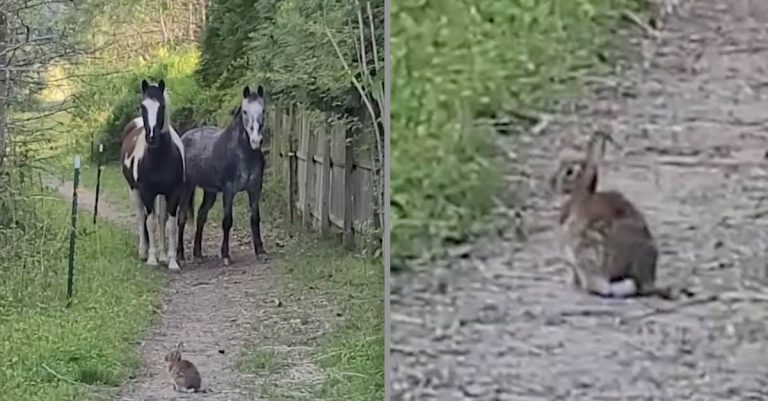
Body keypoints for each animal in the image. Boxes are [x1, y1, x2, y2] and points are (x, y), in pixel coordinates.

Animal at [120, 79, 186, 271]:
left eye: (162, 106)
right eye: (142, 106)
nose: (151, 137)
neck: (159, 159)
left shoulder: (173, 193)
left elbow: (170, 225)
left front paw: (171, 261)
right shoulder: (147, 192)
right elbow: (150, 223)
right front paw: (151, 259)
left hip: (161, 195)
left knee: (161, 219)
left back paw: (162, 255)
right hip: (134, 191)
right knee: (142, 217)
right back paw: (143, 251)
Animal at [177, 85, 268, 266]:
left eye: (263, 110)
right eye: (245, 111)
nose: (256, 141)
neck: (242, 153)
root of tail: (184, 138)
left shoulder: (255, 188)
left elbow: (255, 218)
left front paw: (261, 251)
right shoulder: (228, 190)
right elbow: (227, 221)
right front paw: (226, 255)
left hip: (210, 192)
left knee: (201, 216)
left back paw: (198, 254)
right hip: (186, 188)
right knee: (181, 218)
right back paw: (181, 257)